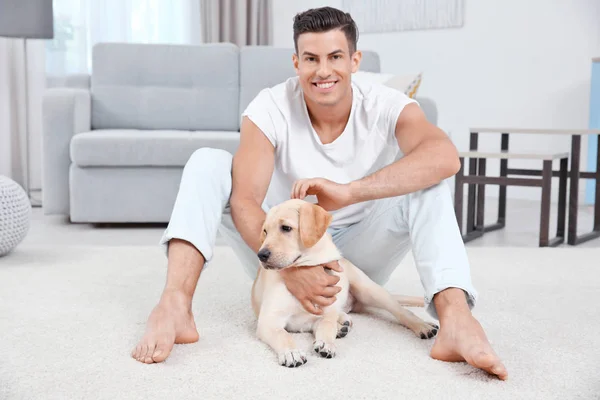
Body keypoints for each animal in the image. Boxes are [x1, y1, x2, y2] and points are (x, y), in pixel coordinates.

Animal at [251, 198, 438, 368]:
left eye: (286, 228)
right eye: (265, 231)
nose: (261, 255)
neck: (309, 267)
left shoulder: (322, 317)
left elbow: (326, 328)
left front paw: (327, 343)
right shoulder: (269, 321)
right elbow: (284, 336)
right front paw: (291, 352)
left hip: (370, 290)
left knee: (402, 311)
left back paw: (423, 326)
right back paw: (342, 323)